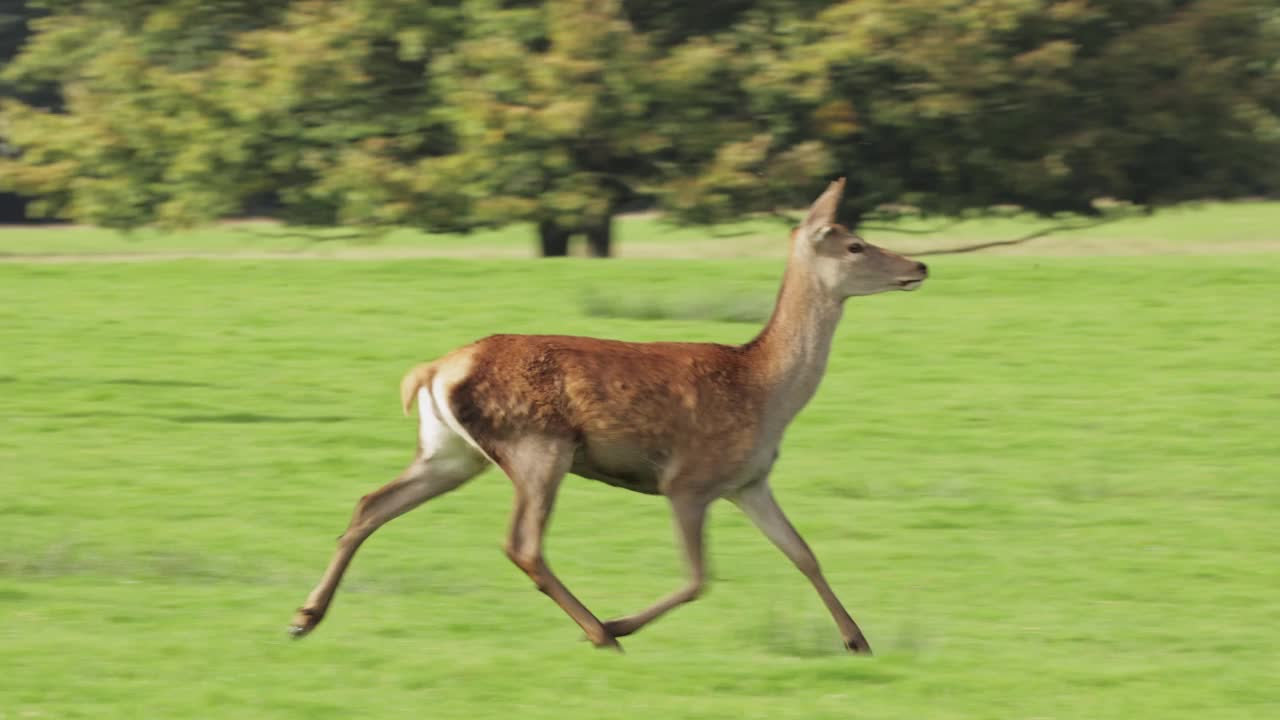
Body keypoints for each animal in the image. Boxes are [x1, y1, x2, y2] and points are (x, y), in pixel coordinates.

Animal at [290, 179, 931, 650]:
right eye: (854, 244)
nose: (920, 267)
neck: (765, 391)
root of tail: (432, 369)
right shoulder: (688, 479)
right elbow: (699, 578)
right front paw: (623, 622)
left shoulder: (748, 481)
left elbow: (804, 554)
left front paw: (857, 640)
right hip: (536, 444)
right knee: (521, 543)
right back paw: (600, 631)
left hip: (450, 452)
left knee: (371, 504)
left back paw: (305, 616)